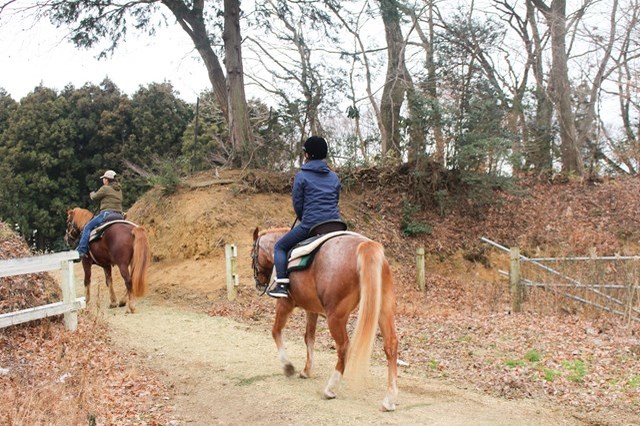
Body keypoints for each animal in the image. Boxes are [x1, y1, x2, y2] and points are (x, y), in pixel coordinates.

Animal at [251, 228, 398, 412]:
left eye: (252, 255)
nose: (258, 284)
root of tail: (365, 245)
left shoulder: (284, 304)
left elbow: (276, 331)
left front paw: (288, 367)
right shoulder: (311, 310)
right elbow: (309, 338)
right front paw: (306, 371)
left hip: (335, 316)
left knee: (343, 347)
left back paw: (330, 388)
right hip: (383, 309)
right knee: (390, 345)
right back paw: (389, 399)